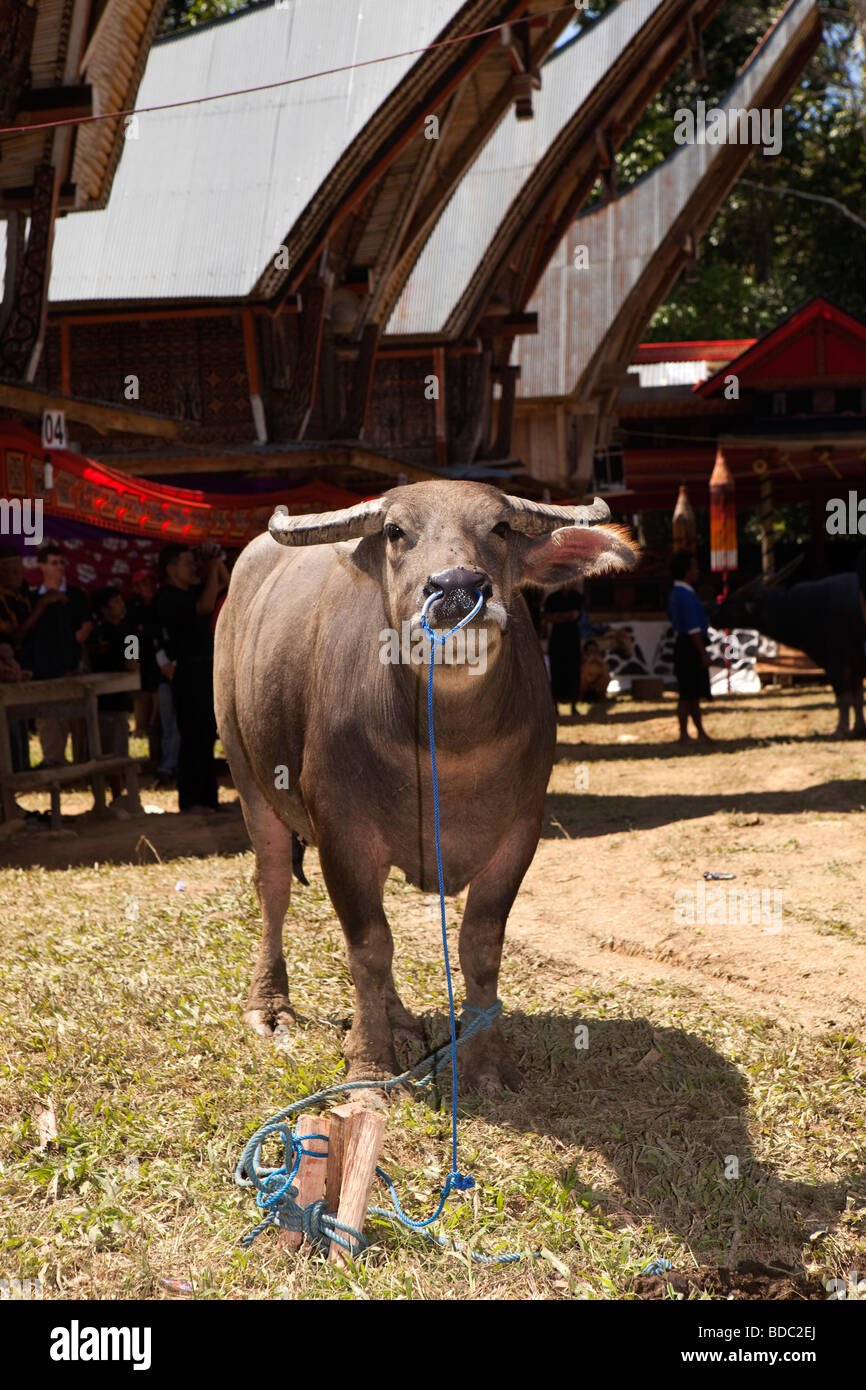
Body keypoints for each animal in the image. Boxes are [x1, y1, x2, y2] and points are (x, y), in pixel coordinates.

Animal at [215, 483, 636, 1089]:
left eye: (501, 528)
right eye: (395, 531)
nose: (457, 587)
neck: (446, 751)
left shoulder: (521, 833)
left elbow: (480, 946)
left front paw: (486, 1062)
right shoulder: (342, 830)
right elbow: (368, 944)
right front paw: (369, 1065)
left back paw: (399, 1019)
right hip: (248, 775)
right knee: (273, 885)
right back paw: (271, 1005)